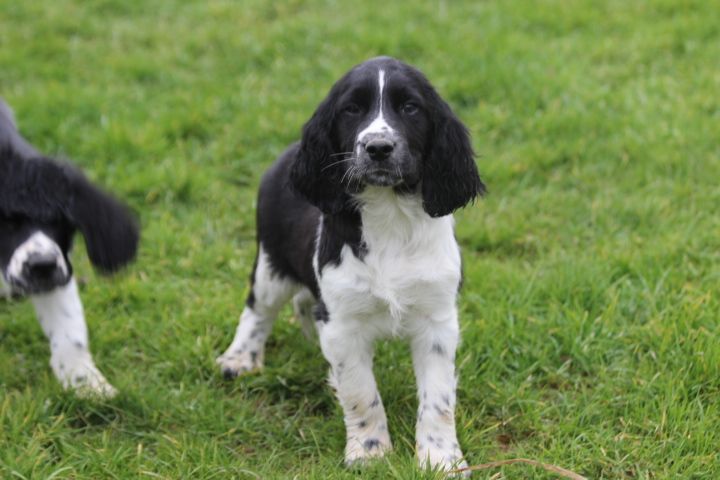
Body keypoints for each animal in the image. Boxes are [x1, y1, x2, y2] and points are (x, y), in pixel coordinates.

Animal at [0, 98, 139, 398]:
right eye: (6, 222)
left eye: (61, 222)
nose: (41, 265)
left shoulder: (58, 267)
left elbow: (68, 327)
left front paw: (86, 384)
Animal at [215, 57, 484, 472]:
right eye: (352, 109)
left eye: (410, 108)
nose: (378, 148)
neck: (390, 217)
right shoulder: (343, 324)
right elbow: (361, 391)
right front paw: (370, 453)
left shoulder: (437, 320)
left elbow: (438, 399)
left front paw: (441, 460)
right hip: (271, 264)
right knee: (258, 309)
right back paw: (240, 358)